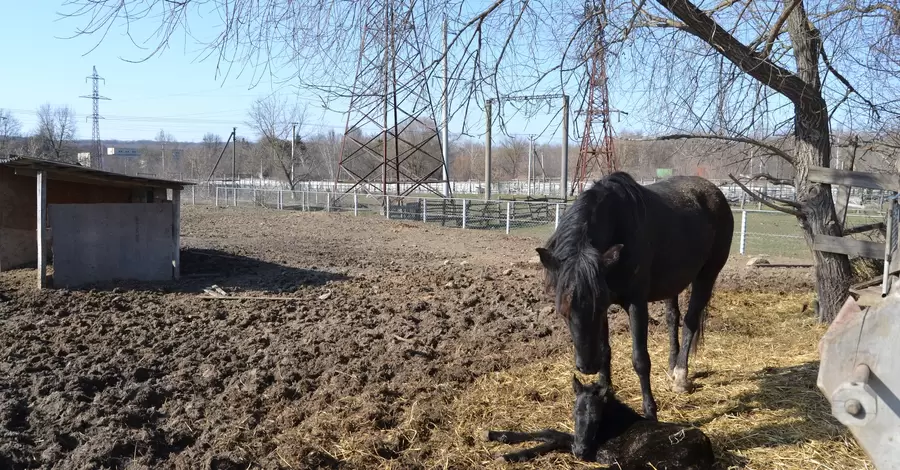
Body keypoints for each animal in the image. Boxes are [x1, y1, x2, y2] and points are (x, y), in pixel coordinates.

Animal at [488, 374, 712, 470]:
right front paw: (497, 435)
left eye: (597, 418)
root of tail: (705, 453)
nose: (580, 452)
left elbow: (556, 439)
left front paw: (508, 456)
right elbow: (550, 433)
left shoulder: (599, 451)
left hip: (634, 461)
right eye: (574, 413)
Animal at [536, 172, 732, 418]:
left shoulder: (635, 304)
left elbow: (640, 359)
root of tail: (716, 193)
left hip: (707, 275)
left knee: (690, 321)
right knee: (672, 318)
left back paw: (680, 376)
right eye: (563, 312)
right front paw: (604, 394)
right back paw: (671, 366)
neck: (618, 225)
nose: (587, 367)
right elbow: (605, 351)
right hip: (673, 283)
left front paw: (650, 411)